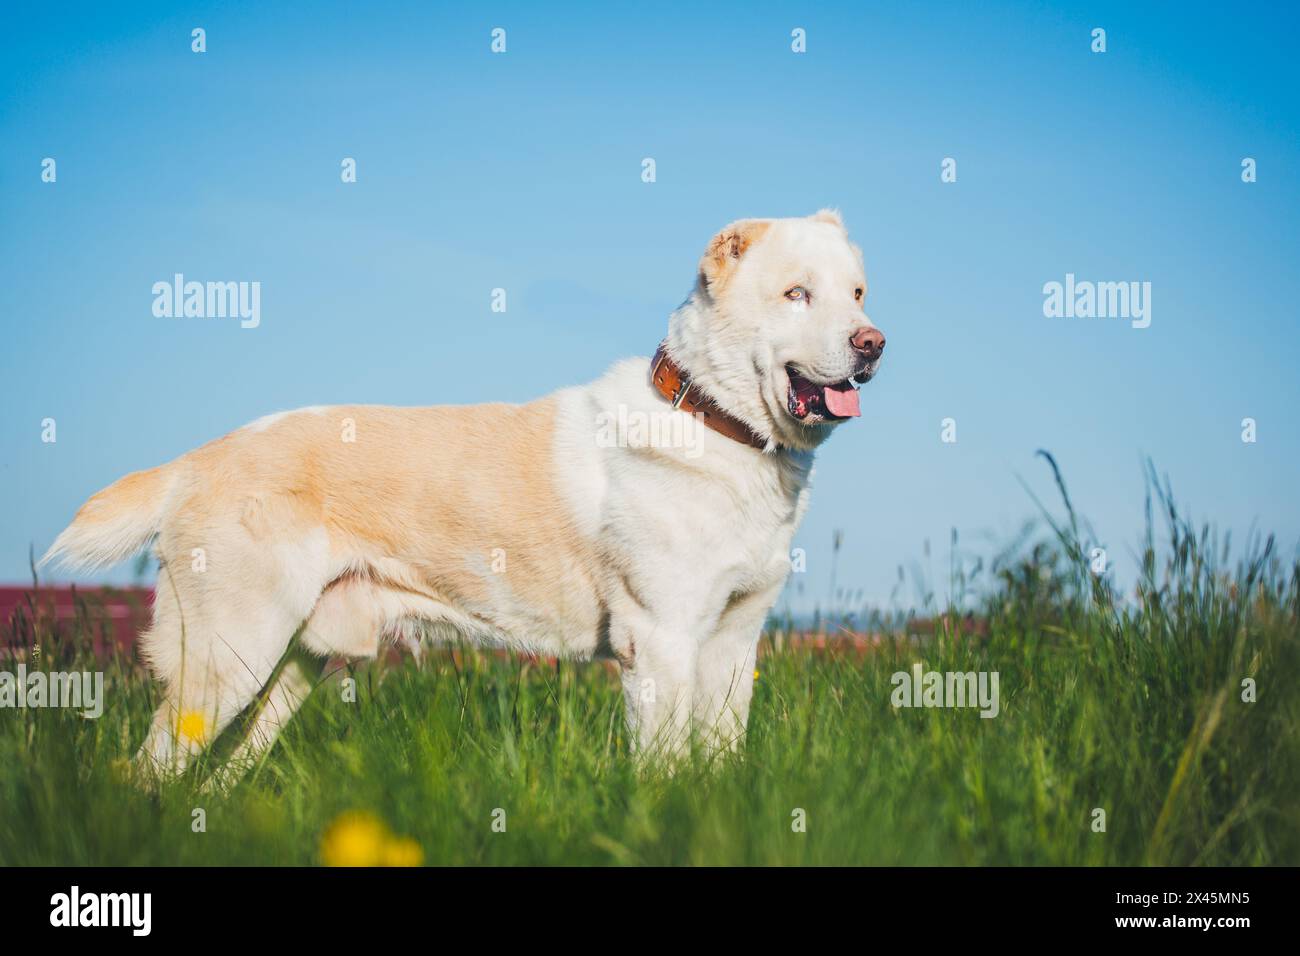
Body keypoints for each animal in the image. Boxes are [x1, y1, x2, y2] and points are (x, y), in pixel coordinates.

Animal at [45, 210, 889, 780]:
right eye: (796, 294)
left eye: (856, 294)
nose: (872, 343)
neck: (718, 425)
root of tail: (194, 460)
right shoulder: (659, 640)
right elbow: (665, 767)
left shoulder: (734, 639)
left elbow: (718, 760)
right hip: (227, 656)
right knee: (145, 773)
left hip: (293, 669)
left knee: (220, 778)